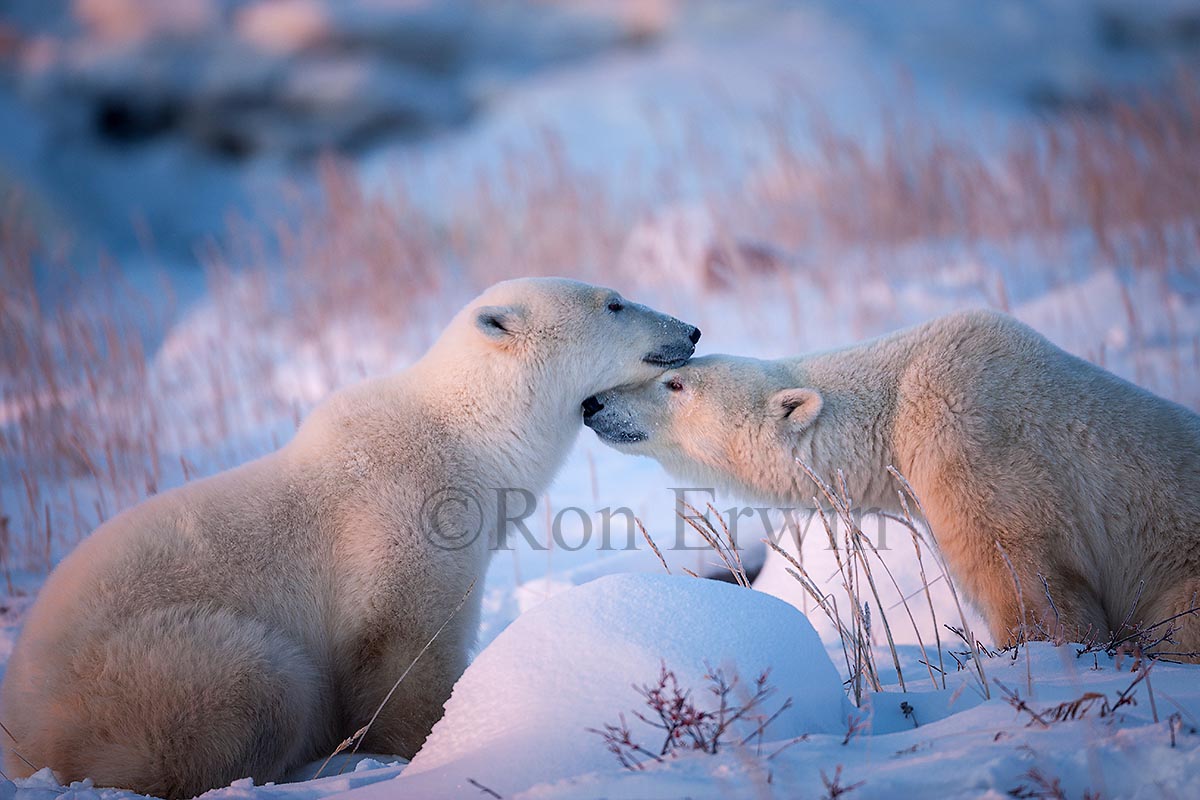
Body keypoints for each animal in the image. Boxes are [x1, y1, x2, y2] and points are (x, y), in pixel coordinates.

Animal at [2, 278, 696, 796]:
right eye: (614, 303)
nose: (689, 330)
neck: (466, 438)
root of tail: (23, 727)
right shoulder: (399, 520)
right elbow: (403, 648)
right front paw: (424, 749)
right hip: (145, 674)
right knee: (257, 684)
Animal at [585, 309, 1200, 652]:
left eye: (675, 384)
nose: (595, 404)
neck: (898, 400)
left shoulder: (973, 445)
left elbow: (1028, 583)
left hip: (1178, 575)